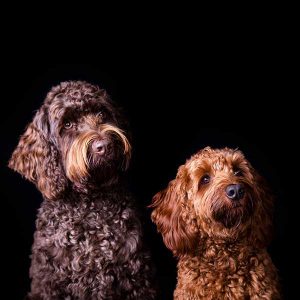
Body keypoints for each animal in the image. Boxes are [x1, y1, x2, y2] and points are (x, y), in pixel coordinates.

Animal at [8, 81, 156, 298]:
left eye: (102, 113)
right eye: (67, 124)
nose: (104, 145)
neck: (90, 205)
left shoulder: (136, 278)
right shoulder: (48, 282)